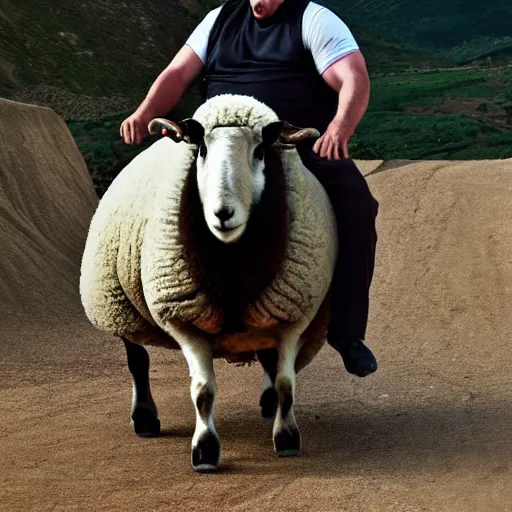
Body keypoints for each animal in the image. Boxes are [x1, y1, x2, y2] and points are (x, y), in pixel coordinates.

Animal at [78, 93, 338, 472]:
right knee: (137, 360)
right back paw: (145, 418)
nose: (223, 213)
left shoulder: (292, 316)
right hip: (117, 304)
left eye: (262, 151)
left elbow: (286, 383)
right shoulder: (184, 321)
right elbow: (203, 391)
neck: (232, 267)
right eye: (200, 148)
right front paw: (204, 451)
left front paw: (287, 438)